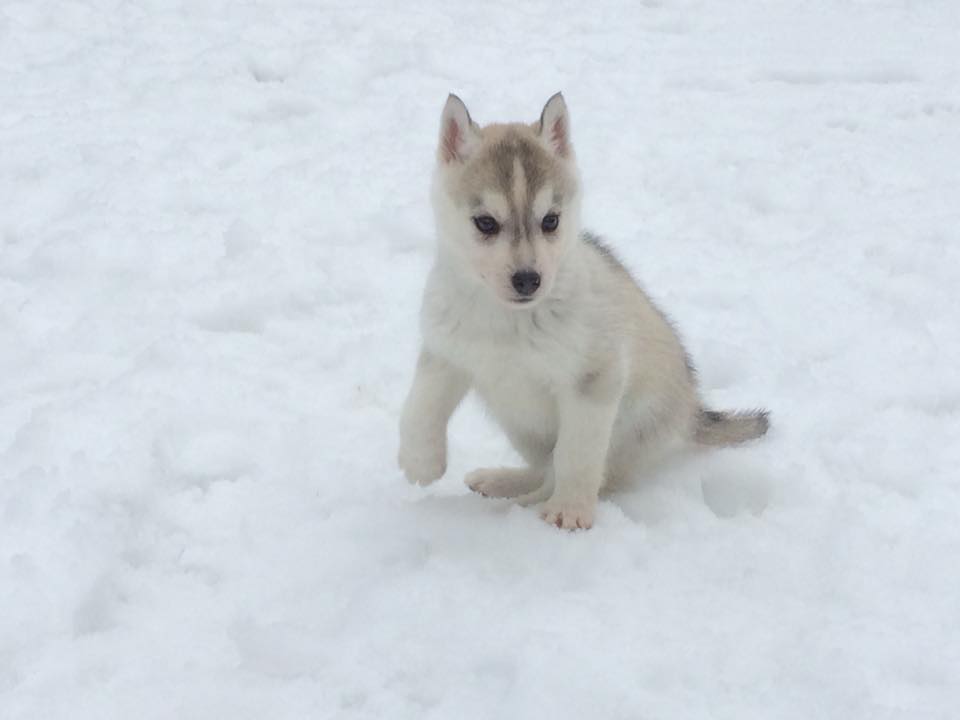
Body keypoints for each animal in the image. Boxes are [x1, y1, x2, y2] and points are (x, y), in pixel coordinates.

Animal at [396, 93, 764, 528]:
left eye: (550, 220)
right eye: (485, 223)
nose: (528, 279)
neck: (508, 320)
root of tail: (692, 412)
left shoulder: (593, 380)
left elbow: (576, 455)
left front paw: (569, 511)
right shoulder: (446, 351)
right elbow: (421, 405)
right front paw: (420, 461)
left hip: (628, 429)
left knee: (574, 474)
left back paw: (518, 505)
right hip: (520, 425)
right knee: (541, 467)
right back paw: (500, 482)